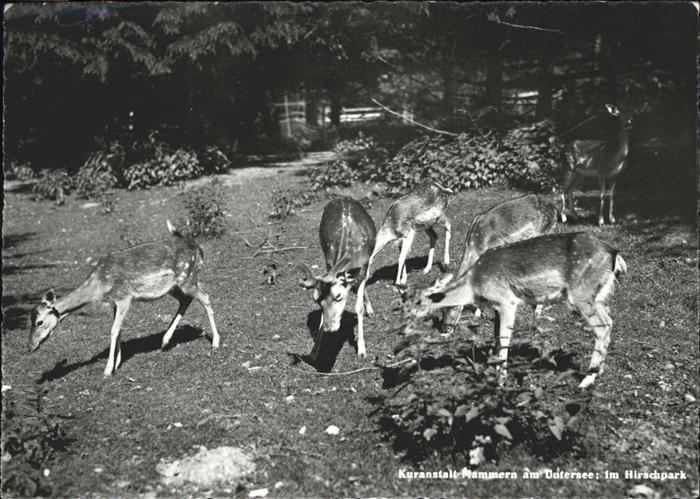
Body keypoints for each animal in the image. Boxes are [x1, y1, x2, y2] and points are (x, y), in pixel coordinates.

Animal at [29, 220, 220, 377]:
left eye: (39, 322)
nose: (30, 346)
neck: (99, 285)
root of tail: (198, 248)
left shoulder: (124, 298)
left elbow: (114, 330)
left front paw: (107, 370)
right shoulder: (115, 302)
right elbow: (119, 329)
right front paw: (118, 363)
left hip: (187, 277)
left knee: (205, 296)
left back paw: (215, 342)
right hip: (173, 286)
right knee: (185, 300)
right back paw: (165, 341)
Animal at [297, 197, 376, 359]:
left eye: (338, 296)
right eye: (316, 300)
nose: (329, 327)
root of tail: (343, 197)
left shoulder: (363, 266)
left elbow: (358, 307)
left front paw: (362, 350)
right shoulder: (329, 264)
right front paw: (314, 351)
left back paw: (370, 310)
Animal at [401, 232, 627, 389]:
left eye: (417, 303)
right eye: (402, 302)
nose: (402, 330)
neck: (474, 286)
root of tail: (615, 254)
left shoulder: (506, 301)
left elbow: (503, 340)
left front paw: (501, 382)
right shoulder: (496, 308)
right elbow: (495, 339)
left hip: (581, 293)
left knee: (603, 325)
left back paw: (587, 380)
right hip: (598, 295)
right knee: (609, 320)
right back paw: (599, 371)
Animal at [442, 193, 559, 335]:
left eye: (454, 306)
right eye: (441, 309)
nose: (445, 330)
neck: (477, 244)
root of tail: (555, 208)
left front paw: (481, 312)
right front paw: (478, 313)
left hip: (546, 232)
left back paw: (538, 310)